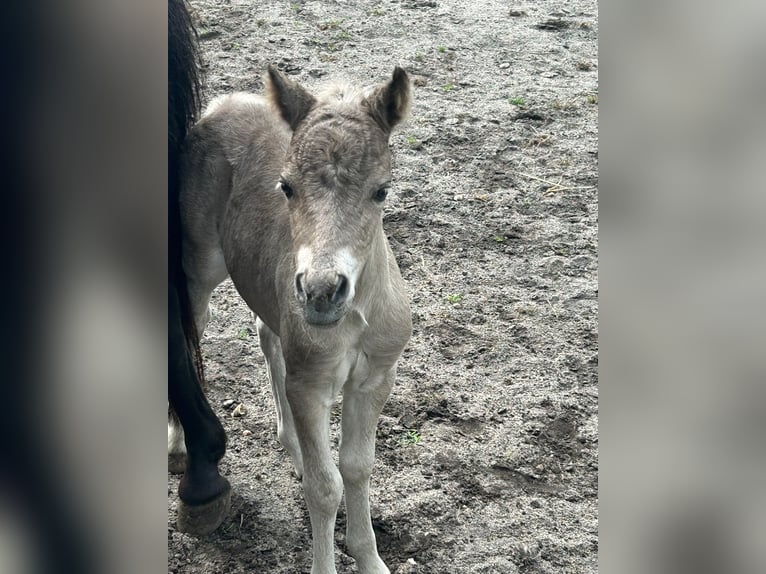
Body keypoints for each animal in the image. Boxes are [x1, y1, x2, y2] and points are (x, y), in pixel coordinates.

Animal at [178, 68, 414, 574]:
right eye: (286, 187)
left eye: (381, 190)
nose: (322, 292)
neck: (354, 319)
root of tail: (223, 103)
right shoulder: (310, 385)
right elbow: (325, 488)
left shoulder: (375, 378)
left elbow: (357, 467)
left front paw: (369, 558)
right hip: (199, 269)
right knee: (189, 331)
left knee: (268, 336)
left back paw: (293, 447)